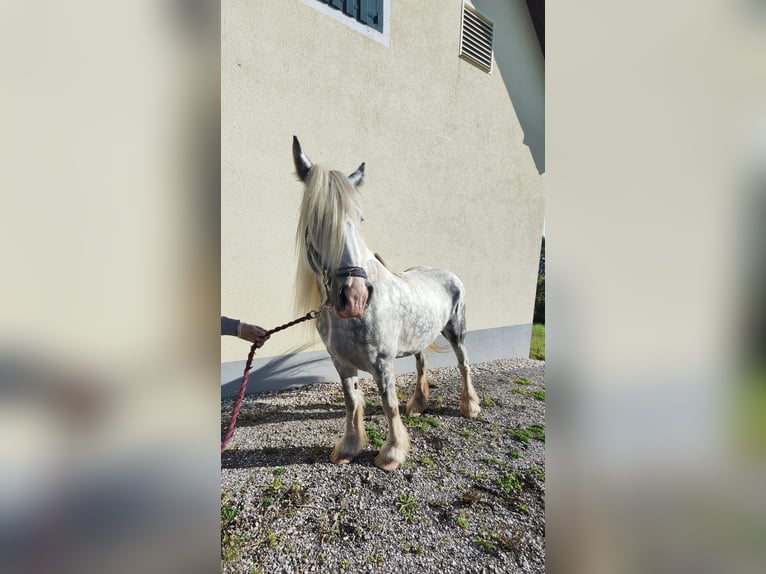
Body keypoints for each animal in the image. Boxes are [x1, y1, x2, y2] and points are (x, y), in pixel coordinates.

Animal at [291, 136, 481, 471]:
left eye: (360, 218)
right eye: (316, 219)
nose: (354, 297)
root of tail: (449, 274)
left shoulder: (382, 363)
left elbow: (388, 403)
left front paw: (391, 454)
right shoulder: (341, 363)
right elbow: (352, 402)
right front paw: (348, 448)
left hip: (456, 331)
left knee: (464, 365)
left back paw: (469, 407)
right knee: (421, 365)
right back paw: (417, 405)